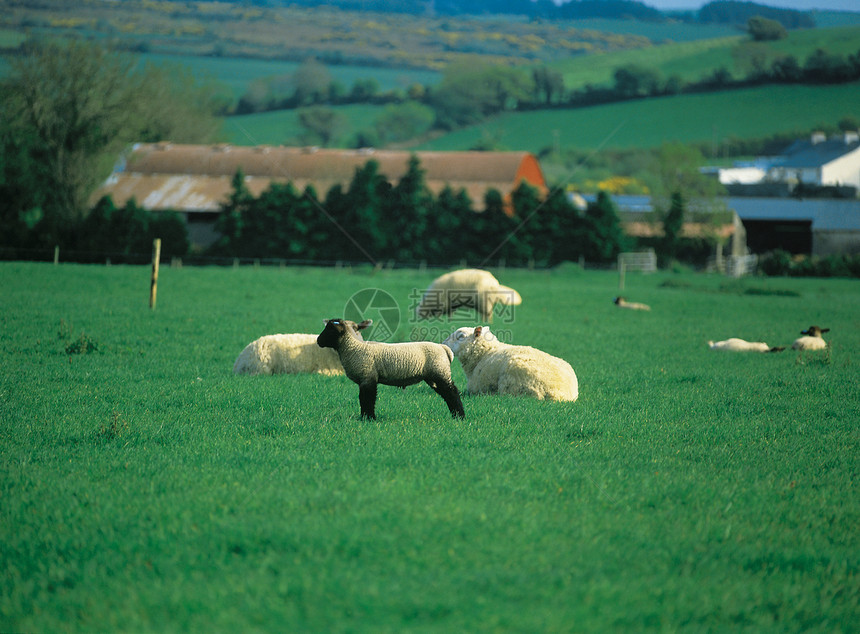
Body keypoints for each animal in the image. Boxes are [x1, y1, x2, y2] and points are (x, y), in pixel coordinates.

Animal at [316, 316, 464, 420]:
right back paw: (455, 415)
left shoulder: (368, 378)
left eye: (330, 330)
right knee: (446, 394)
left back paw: (460, 416)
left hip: (440, 371)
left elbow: (367, 399)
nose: (318, 341)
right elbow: (362, 399)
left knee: (452, 392)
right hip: (433, 376)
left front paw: (369, 419)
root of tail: (444, 348)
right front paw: (364, 417)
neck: (353, 347)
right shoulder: (364, 379)